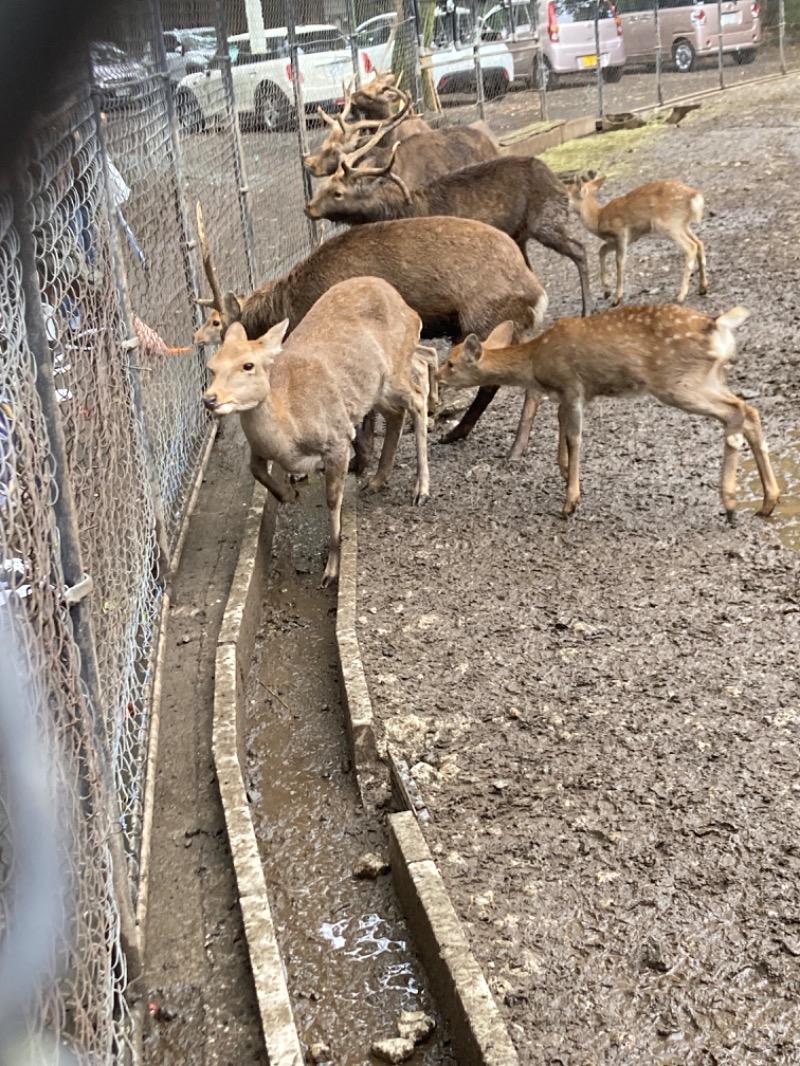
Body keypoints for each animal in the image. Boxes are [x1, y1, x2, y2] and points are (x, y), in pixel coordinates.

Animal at [196, 207, 550, 458]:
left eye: (221, 326)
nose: (212, 396)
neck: (294, 305)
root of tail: (536, 293)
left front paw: (361, 459)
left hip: (481, 323)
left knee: (495, 381)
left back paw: (488, 441)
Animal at [203, 275, 435, 584]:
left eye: (248, 365)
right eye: (212, 367)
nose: (210, 399)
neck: (290, 431)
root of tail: (406, 307)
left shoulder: (337, 439)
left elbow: (332, 500)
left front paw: (331, 569)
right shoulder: (260, 449)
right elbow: (256, 469)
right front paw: (290, 495)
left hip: (396, 366)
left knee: (417, 397)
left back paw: (421, 490)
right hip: (374, 388)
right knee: (397, 411)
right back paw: (376, 481)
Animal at [439, 304, 785, 520]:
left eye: (451, 362)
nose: (438, 377)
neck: (536, 362)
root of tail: (718, 326)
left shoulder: (572, 385)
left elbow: (575, 437)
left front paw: (570, 501)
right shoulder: (567, 394)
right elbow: (562, 427)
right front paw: (564, 471)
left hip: (678, 382)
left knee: (735, 412)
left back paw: (730, 503)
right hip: (711, 377)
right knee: (750, 410)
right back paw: (768, 502)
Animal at [567, 174, 712, 309]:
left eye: (567, 196)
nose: (564, 207)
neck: (598, 219)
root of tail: (694, 197)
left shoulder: (621, 234)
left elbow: (619, 262)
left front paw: (616, 298)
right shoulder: (624, 239)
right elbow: (601, 250)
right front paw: (606, 292)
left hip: (667, 223)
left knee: (691, 247)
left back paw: (681, 296)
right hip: (682, 224)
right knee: (699, 243)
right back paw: (703, 287)